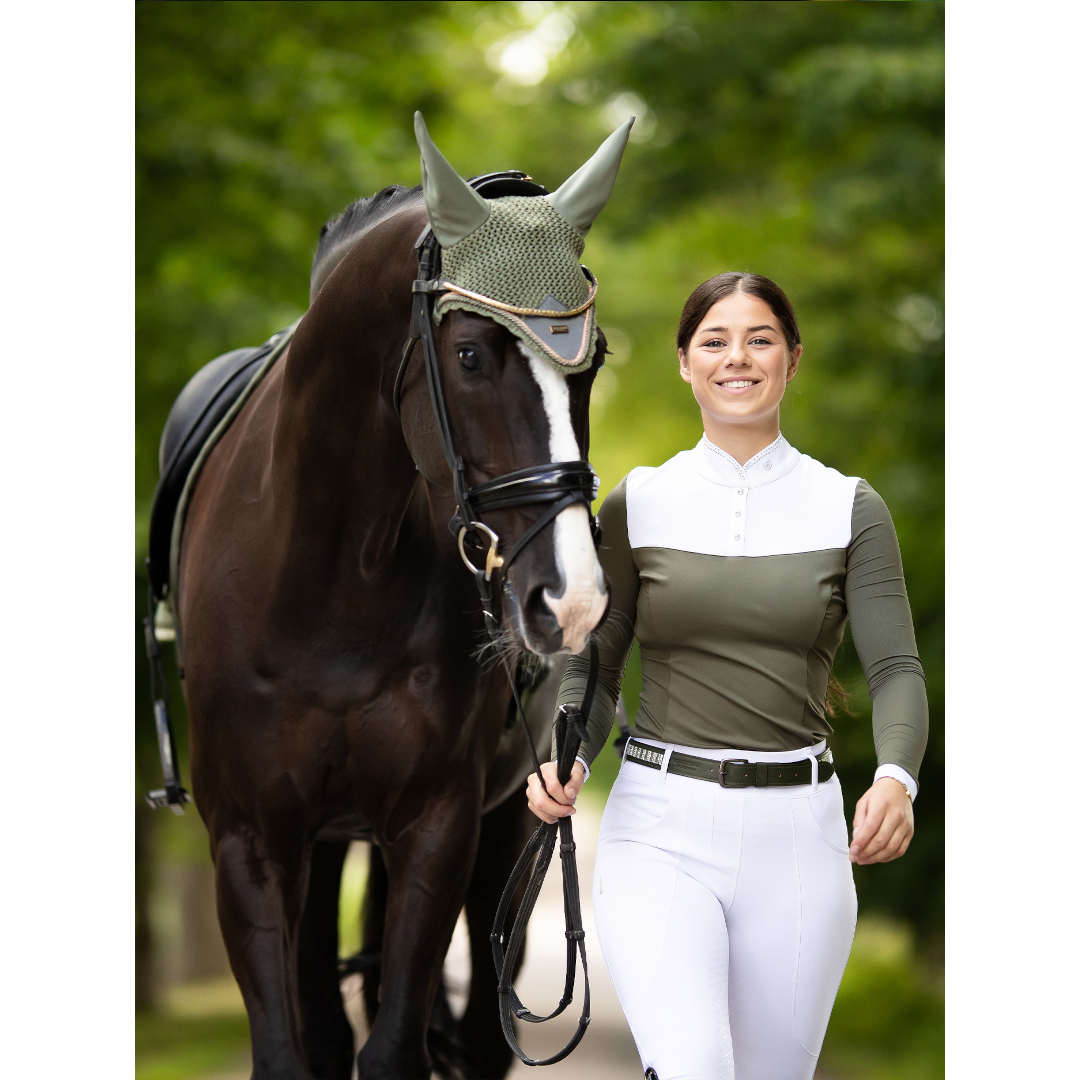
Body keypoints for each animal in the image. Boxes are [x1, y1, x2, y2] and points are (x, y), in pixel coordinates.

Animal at [169, 115, 633, 1078]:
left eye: (594, 359)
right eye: (469, 355)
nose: (571, 601)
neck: (335, 578)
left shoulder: (438, 826)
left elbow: (393, 1048)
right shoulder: (250, 840)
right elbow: (293, 1050)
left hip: (508, 830)